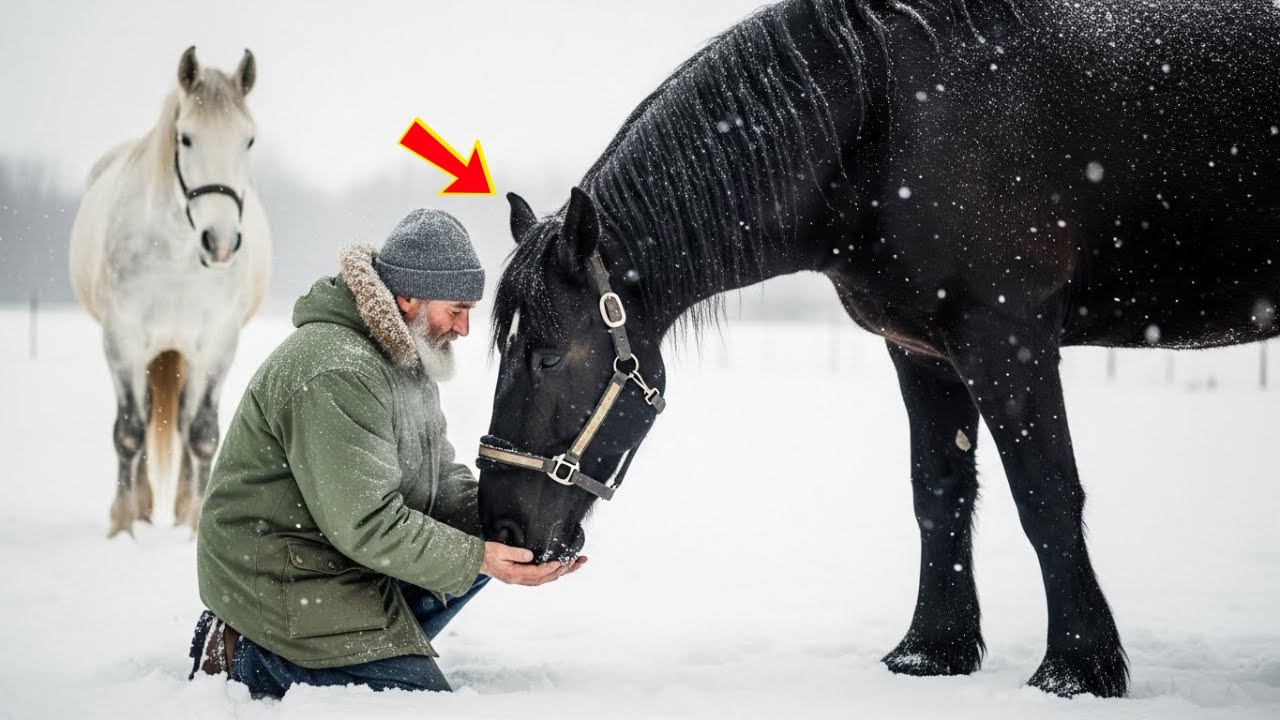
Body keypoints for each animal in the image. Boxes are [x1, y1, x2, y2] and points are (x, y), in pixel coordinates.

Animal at [70, 47, 271, 538]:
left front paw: (196, 521)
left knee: (180, 421)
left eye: (248, 141)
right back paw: (142, 507)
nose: (220, 242)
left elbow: (202, 434)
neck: (179, 256)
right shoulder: (122, 339)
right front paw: (122, 524)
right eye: (186, 138)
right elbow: (128, 431)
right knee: (143, 416)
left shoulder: (217, 342)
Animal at [475, 0, 1280, 699]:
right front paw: (930, 653)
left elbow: (1047, 496)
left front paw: (1077, 670)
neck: (888, 115)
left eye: (547, 357)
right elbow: (939, 494)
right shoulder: (921, 350)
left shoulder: (1007, 337)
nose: (501, 529)